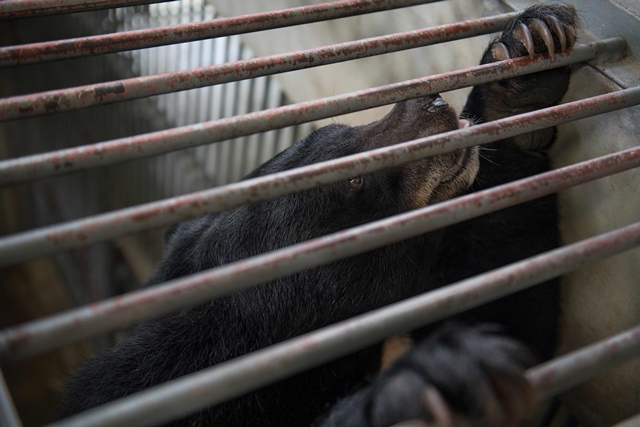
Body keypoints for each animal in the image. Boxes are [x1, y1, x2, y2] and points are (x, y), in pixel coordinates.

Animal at [61, 4, 580, 427]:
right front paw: (428, 385)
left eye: (345, 126)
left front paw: (523, 65)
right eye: (352, 181)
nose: (432, 102)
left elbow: (520, 315)